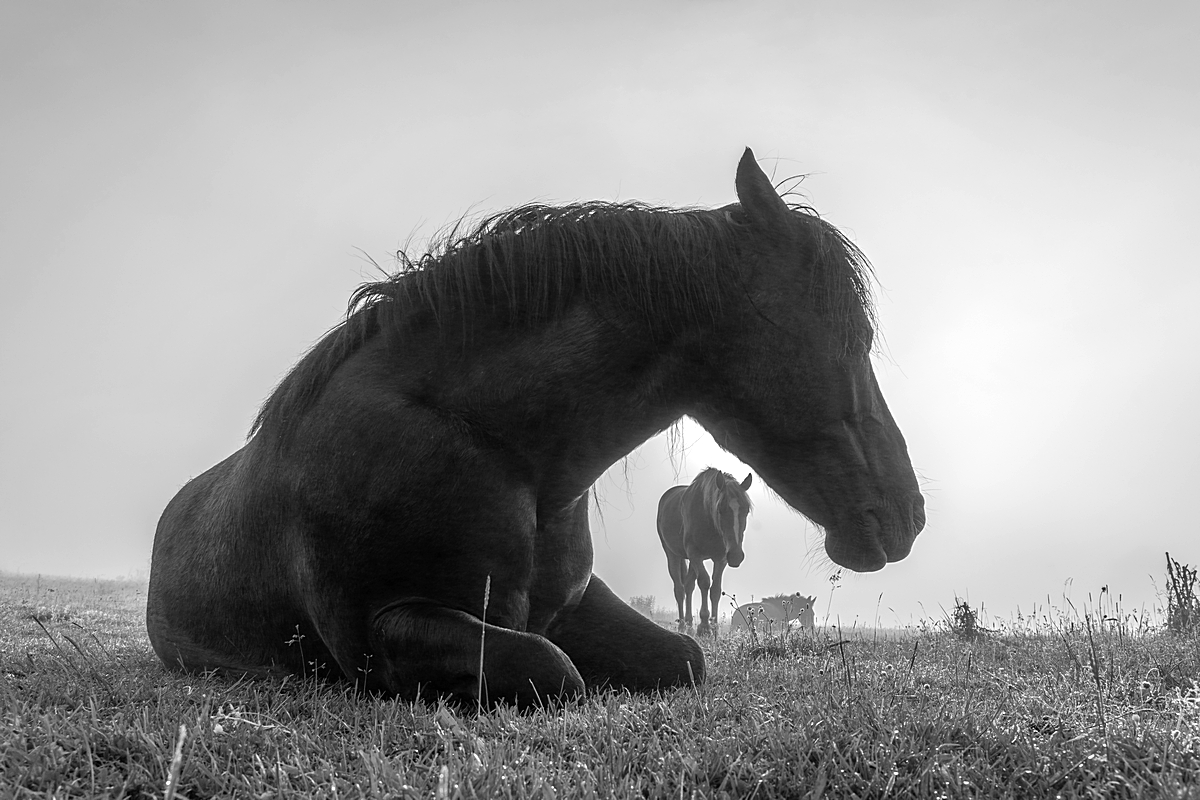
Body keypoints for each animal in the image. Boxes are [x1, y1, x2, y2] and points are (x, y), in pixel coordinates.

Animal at [657, 468, 753, 635]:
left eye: (746, 510)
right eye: (720, 509)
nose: (736, 556)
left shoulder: (721, 559)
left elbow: (715, 589)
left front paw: (714, 627)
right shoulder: (695, 554)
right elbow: (705, 582)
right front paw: (704, 626)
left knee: (688, 585)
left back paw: (689, 624)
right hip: (672, 554)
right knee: (679, 589)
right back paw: (682, 626)